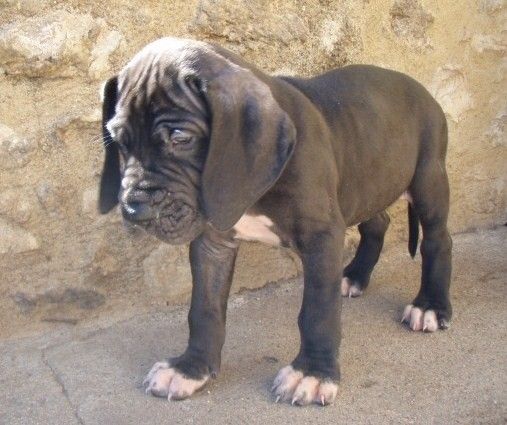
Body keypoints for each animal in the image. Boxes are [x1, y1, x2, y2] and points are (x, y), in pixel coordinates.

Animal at [98, 37, 452, 406]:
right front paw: (190, 369)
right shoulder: (213, 242)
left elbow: (317, 310)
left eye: (180, 138)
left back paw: (430, 305)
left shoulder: (321, 236)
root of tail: (422, 89)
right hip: (370, 180)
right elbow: (203, 309)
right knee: (377, 222)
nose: (134, 210)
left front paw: (312, 373)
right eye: (118, 140)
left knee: (438, 241)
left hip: (428, 177)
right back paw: (354, 275)